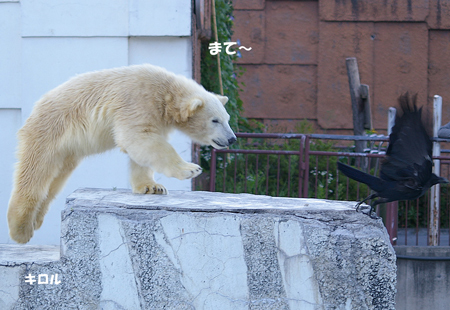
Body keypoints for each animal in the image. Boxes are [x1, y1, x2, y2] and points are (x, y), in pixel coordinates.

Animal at [7, 64, 236, 243]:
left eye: (227, 118)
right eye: (215, 120)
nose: (232, 139)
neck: (166, 90)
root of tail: (35, 109)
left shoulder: (156, 115)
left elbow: (143, 147)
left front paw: (152, 187)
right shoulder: (137, 101)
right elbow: (138, 139)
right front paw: (190, 169)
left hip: (67, 150)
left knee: (55, 180)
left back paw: (36, 220)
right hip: (49, 131)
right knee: (36, 171)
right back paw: (21, 228)